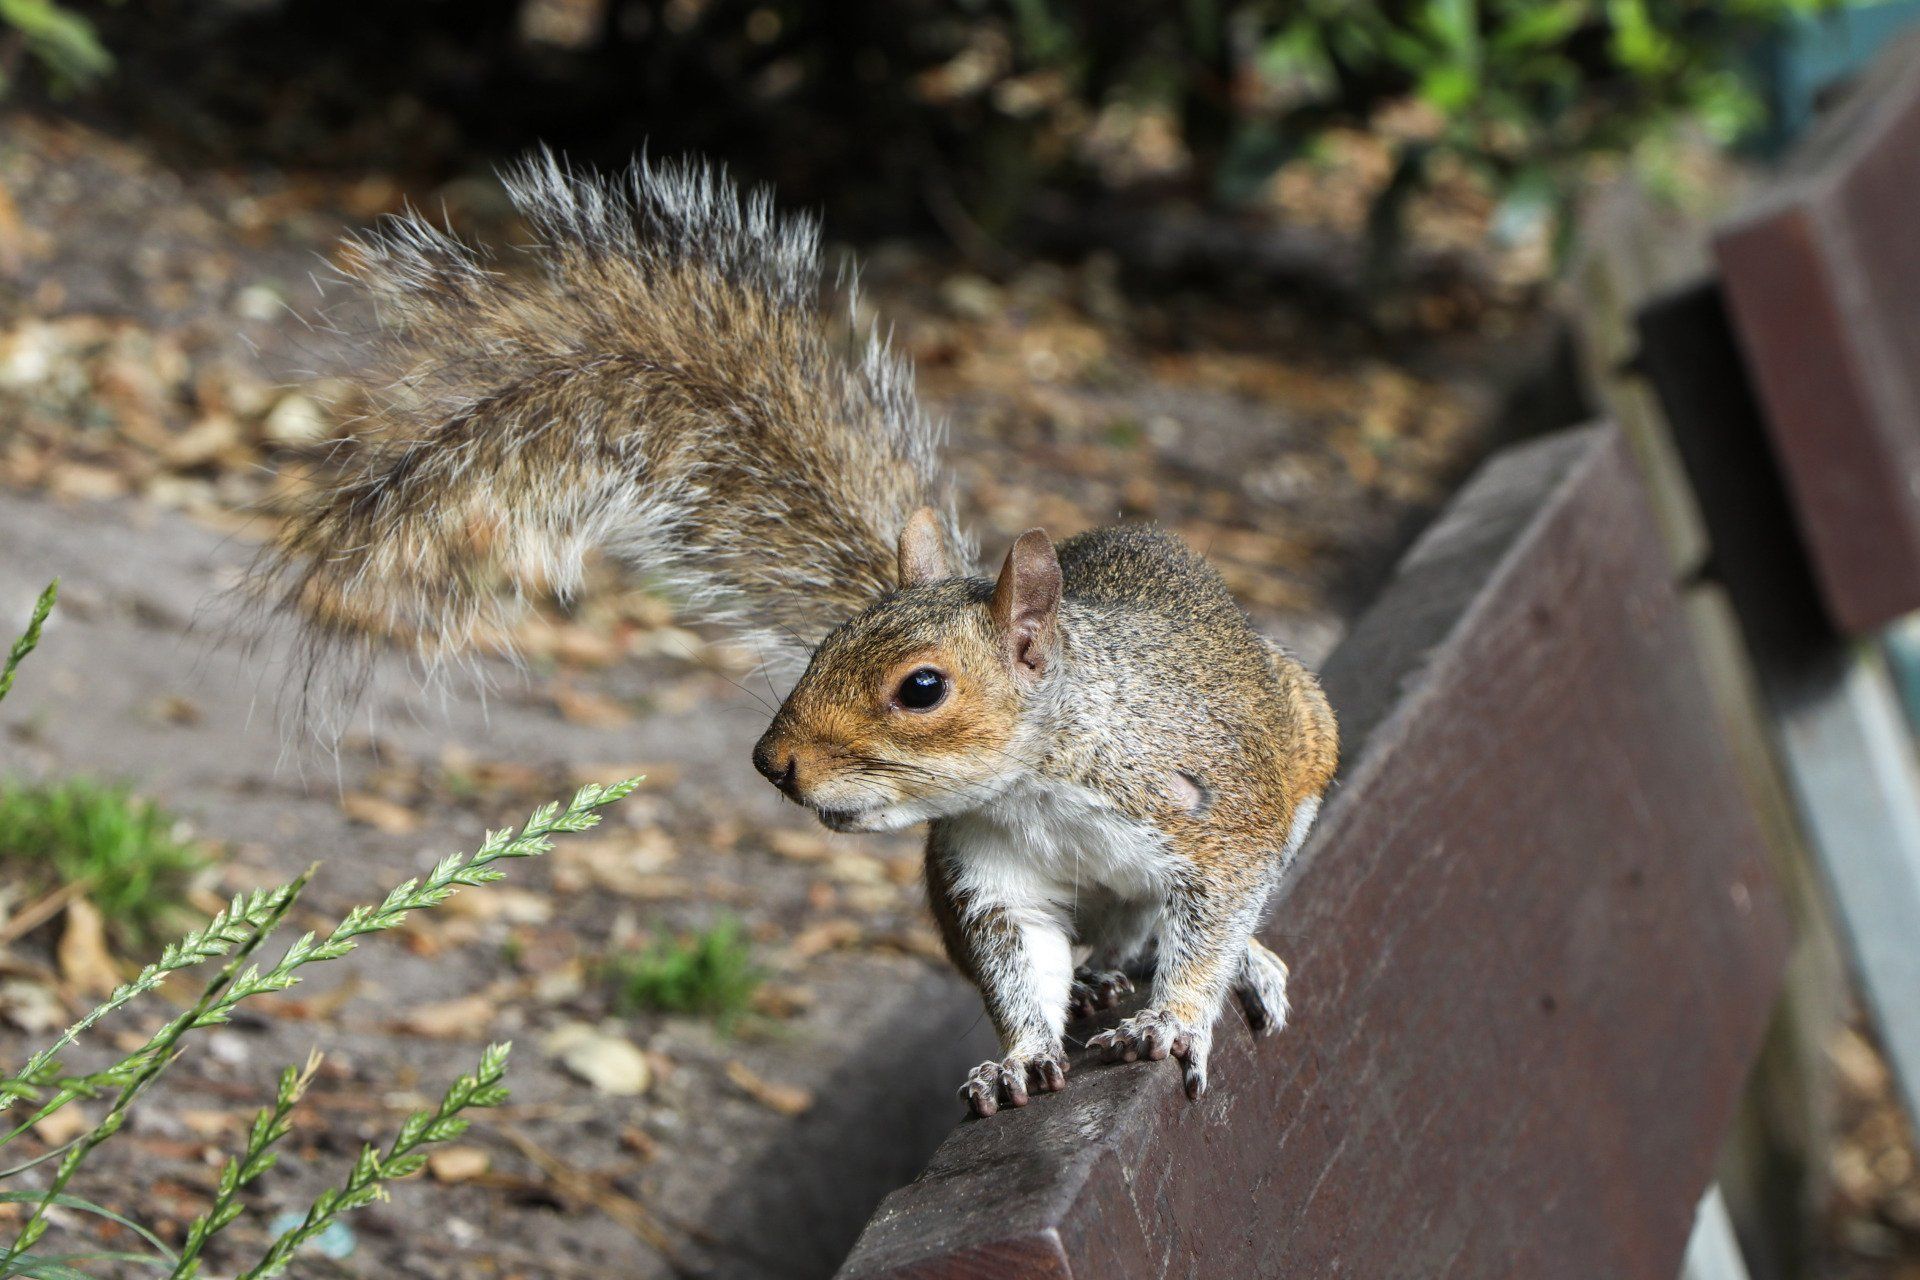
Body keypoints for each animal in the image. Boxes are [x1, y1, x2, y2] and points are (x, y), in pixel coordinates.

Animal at [250, 151, 1339, 1114]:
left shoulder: (1215, 814)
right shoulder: (989, 870)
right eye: (820, 646)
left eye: (923, 687)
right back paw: (1106, 976)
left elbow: (1210, 922)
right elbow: (1021, 962)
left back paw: (1223, 967)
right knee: (1098, 945)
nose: (773, 761)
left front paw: (1176, 1017)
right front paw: (1022, 1056)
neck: (1040, 776)